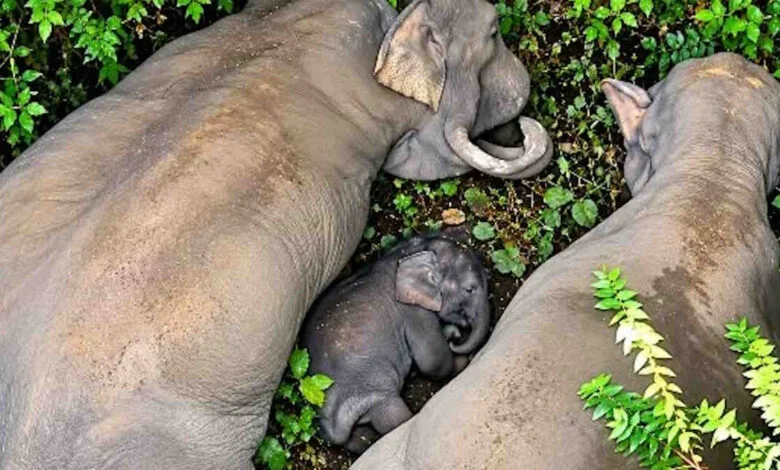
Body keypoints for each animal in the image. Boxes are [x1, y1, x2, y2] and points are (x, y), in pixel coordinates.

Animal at [300, 234, 490, 454]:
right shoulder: (413, 311)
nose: (458, 336)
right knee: (394, 418)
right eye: (469, 289)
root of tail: (332, 426)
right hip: (373, 393)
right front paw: (462, 359)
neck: (408, 254)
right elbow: (432, 361)